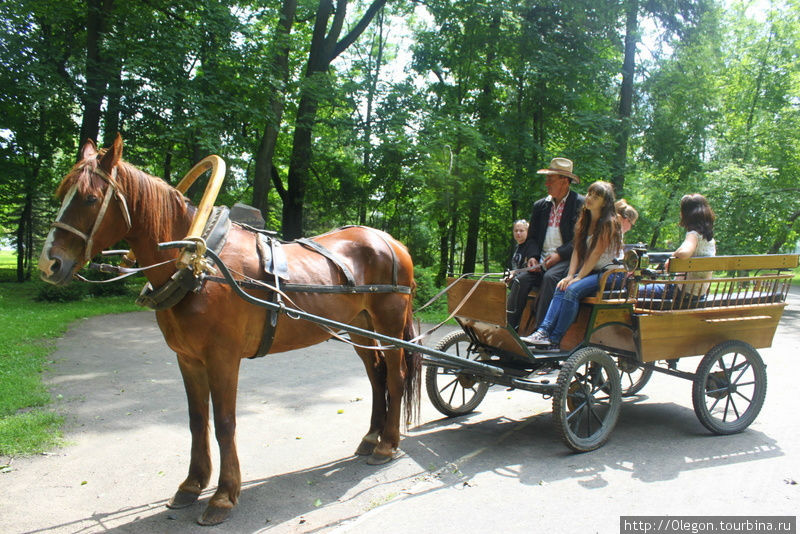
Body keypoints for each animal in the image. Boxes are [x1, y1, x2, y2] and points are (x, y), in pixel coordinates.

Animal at [39, 135, 418, 528]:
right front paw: (192, 484)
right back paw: (371, 437)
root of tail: (392, 242)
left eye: (89, 198)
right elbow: (196, 420)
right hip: (361, 329)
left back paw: (387, 445)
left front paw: (223, 495)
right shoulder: (188, 358)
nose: (49, 263)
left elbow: (223, 422)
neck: (199, 265)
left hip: (389, 325)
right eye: (63, 192)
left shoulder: (223, 358)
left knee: (395, 376)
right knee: (376, 377)